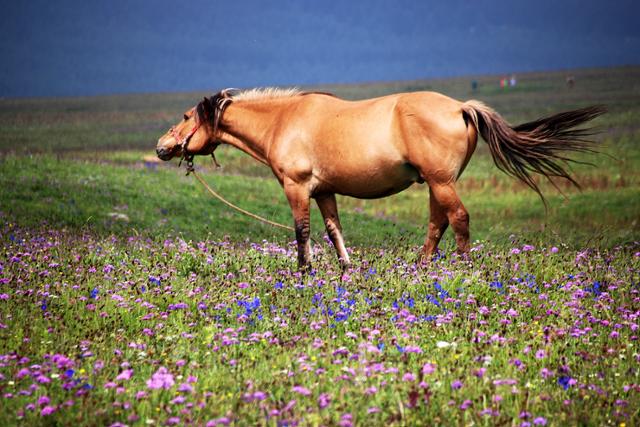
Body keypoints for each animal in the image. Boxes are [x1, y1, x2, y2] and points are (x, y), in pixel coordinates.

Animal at [155, 88, 604, 270]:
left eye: (185, 116)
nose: (162, 146)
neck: (284, 120)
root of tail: (461, 107)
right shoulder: (325, 191)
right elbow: (334, 230)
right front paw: (346, 268)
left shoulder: (297, 188)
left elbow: (301, 232)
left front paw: (303, 272)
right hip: (436, 184)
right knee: (437, 223)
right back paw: (422, 268)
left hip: (442, 183)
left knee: (457, 219)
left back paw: (463, 268)